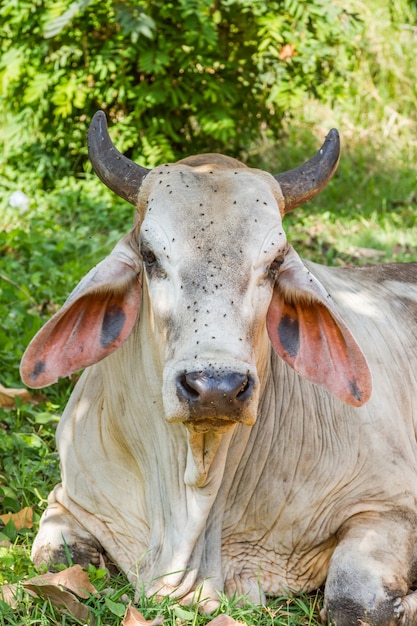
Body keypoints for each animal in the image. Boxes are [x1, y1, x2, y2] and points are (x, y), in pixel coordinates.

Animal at [21, 109, 416, 620]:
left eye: (274, 263)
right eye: (150, 255)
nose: (216, 388)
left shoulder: (390, 507)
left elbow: (355, 601)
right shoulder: (67, 500)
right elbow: (55, 559)